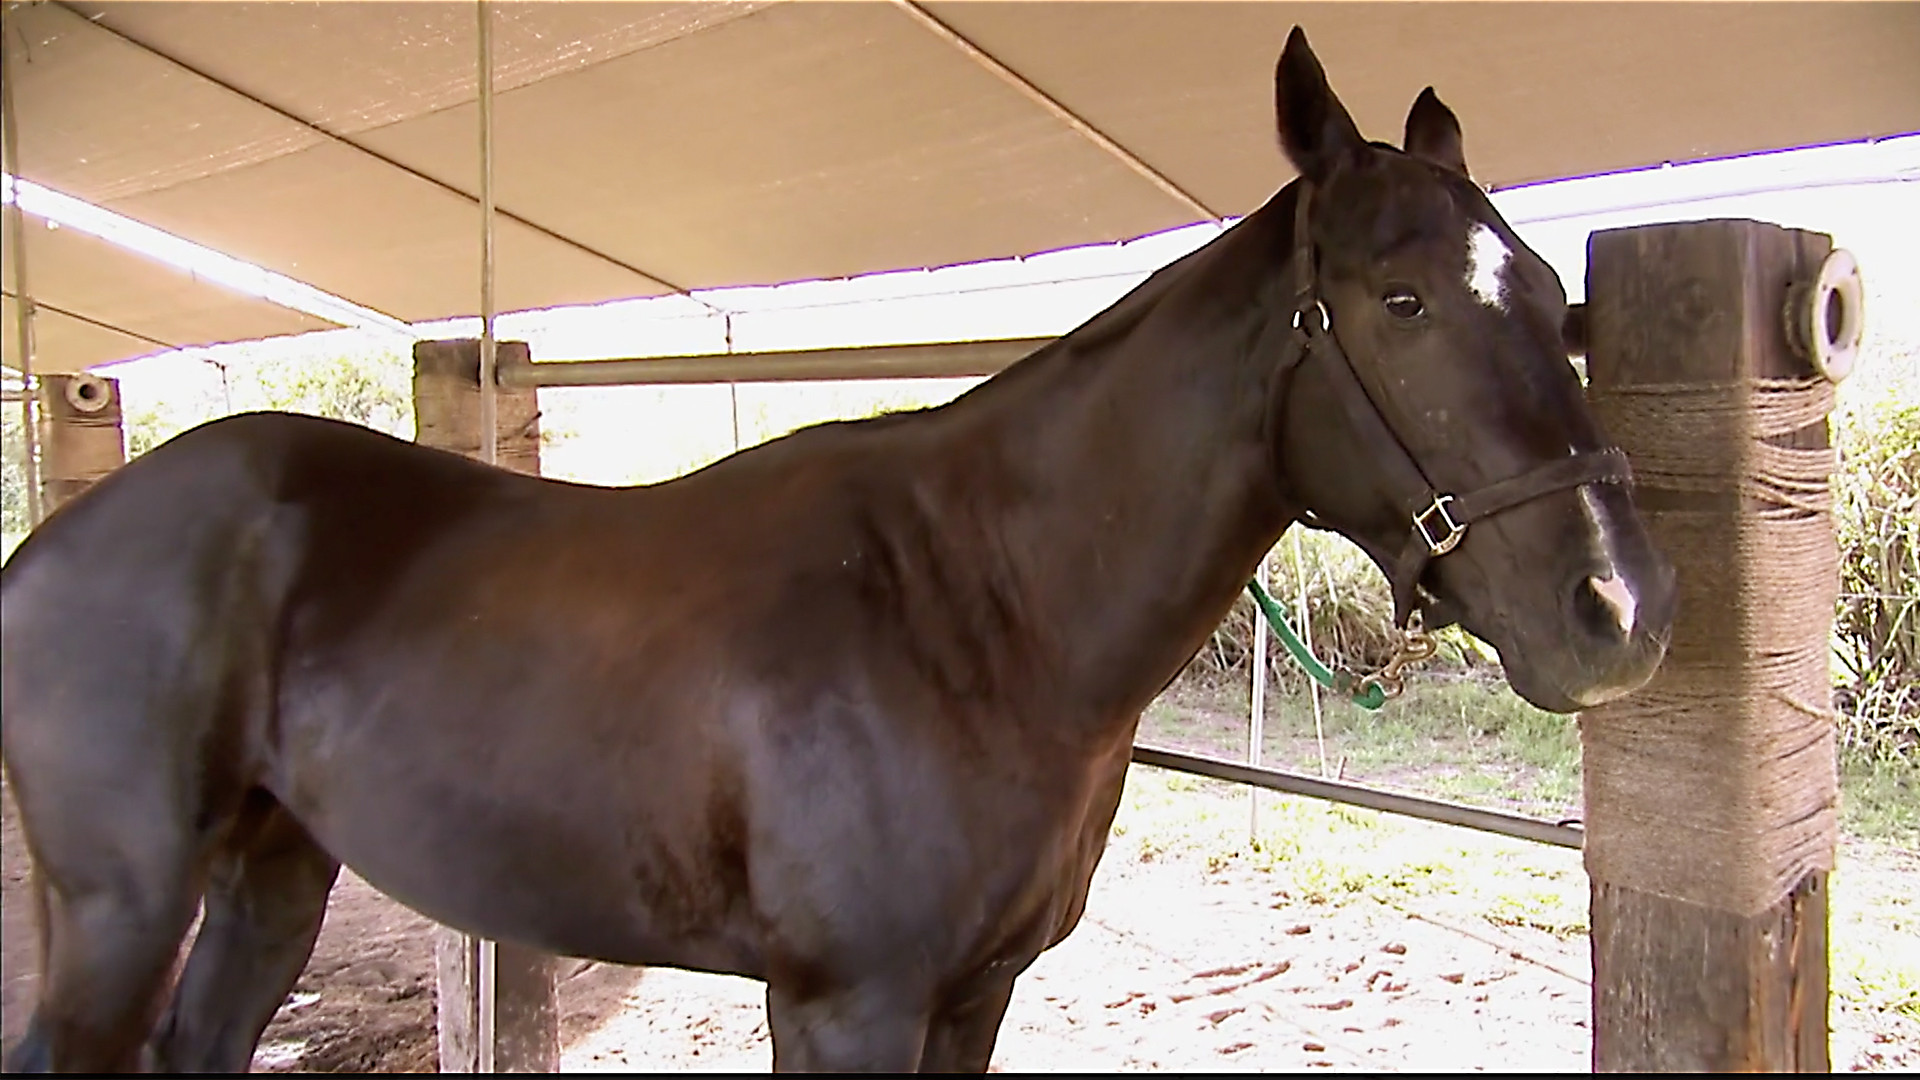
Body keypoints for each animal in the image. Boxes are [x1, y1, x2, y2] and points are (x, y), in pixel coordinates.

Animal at [0, 26, 1675, 1073]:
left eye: (1553, 295)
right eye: (1403, 302)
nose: (1622, 611)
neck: (973, 608)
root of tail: (52, 552)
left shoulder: (973, 997)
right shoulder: (843, 1006)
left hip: (270, 873)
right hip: (120, 907)